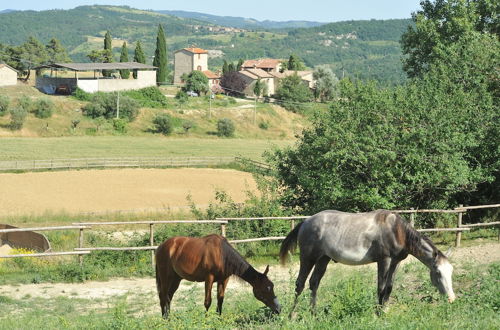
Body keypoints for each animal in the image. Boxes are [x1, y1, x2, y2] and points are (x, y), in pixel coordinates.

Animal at [280, 210, 456, 314]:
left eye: (451, 272)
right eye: (438, 273)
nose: (452, 299)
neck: (397, 231)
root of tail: (305, 222)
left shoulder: (396, 262)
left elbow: (389, 288)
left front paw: (384, 311)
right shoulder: (384, 261)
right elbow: (381, 288)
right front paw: (377, 313)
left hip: (323, 259)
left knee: (314, 283)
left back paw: (314, 313)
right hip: (308, 258)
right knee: (300, 284)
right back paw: (291, 315)